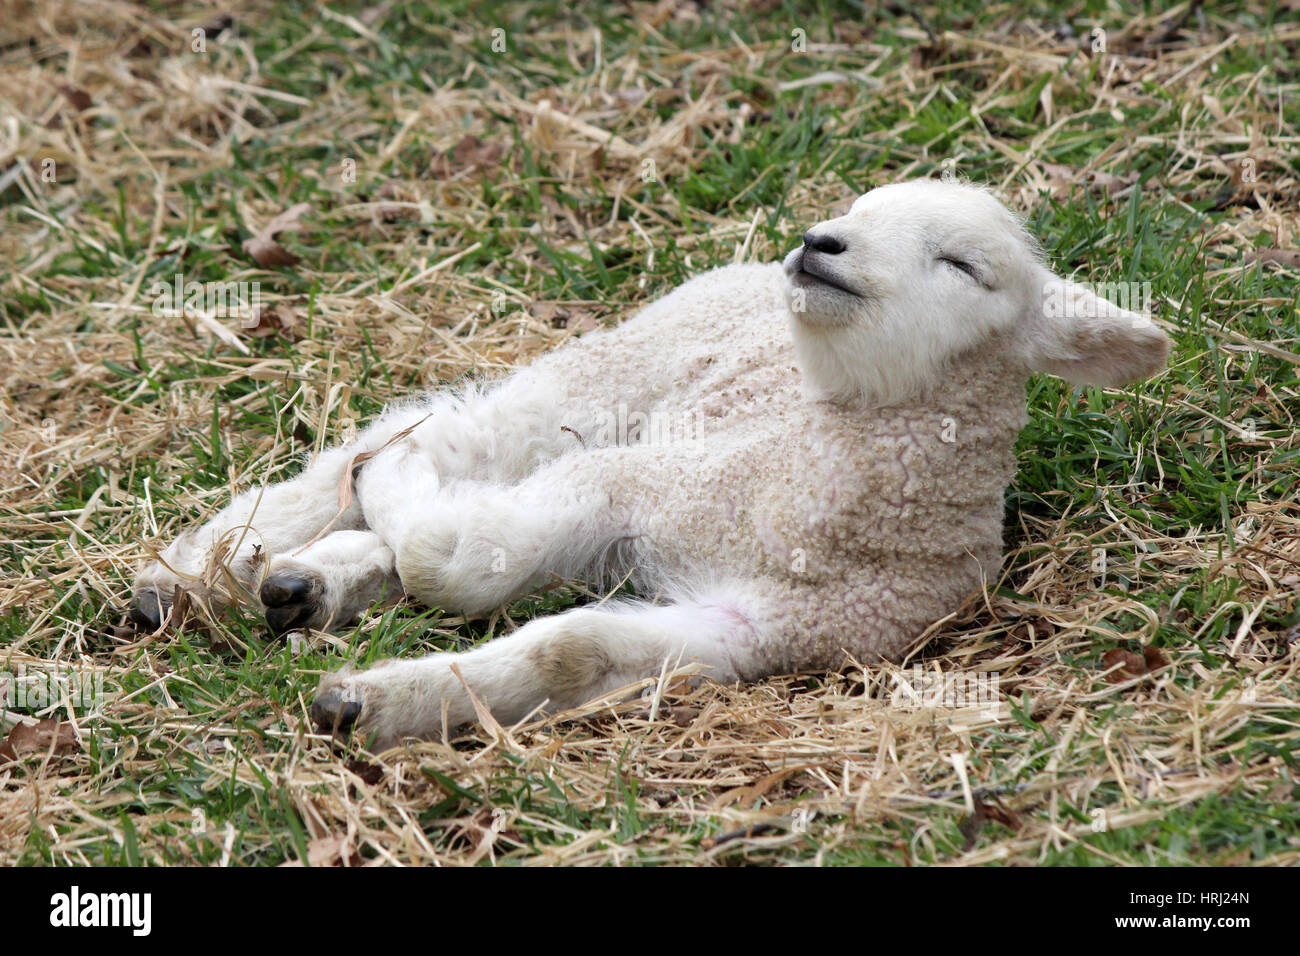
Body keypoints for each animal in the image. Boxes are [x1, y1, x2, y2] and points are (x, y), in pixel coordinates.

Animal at [129, 179, 1170, 749]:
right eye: (859, 213)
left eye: (962, 265)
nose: (820, 243)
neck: (813, 491)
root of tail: (737, 273)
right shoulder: (632, 485)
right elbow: (450, 555)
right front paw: (387, 494)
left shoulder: (763, 630)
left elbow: (564, 646)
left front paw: (369, 703)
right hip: (614, 375)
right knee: (440, 433)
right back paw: (192, 573)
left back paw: (303, 584)